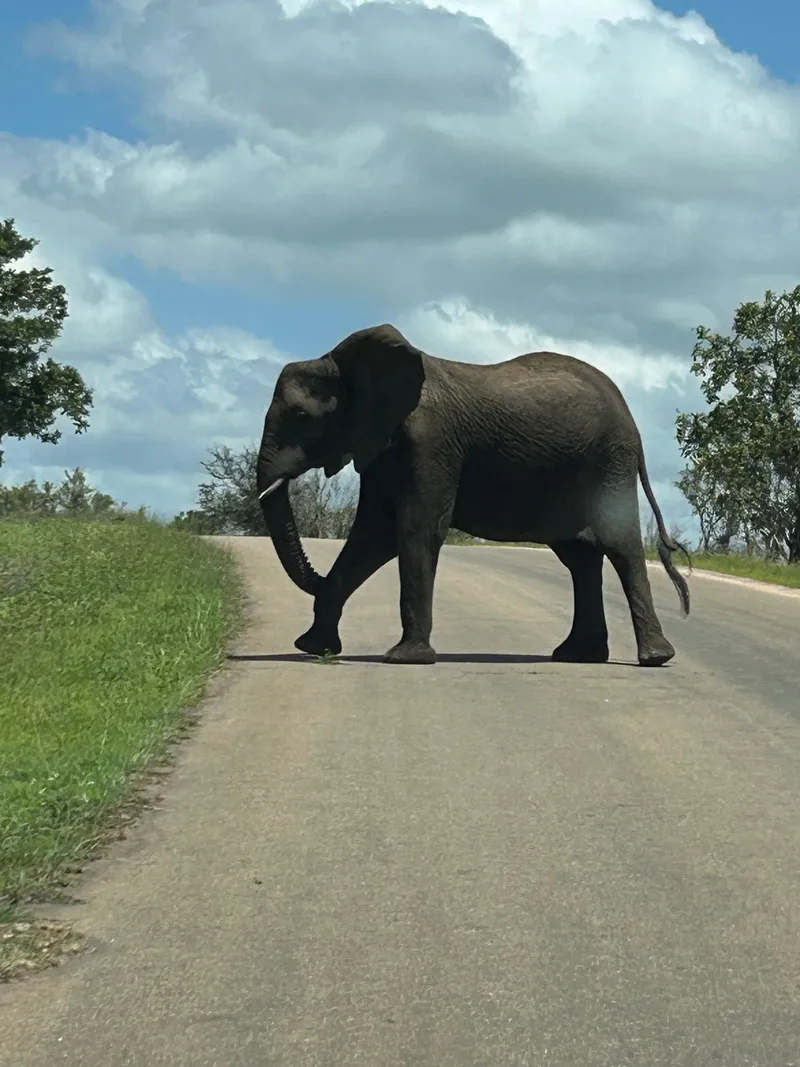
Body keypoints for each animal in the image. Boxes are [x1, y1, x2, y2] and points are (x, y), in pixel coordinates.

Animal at [256, 323, 691, 666]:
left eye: (301, 418)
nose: (317, 577)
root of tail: (631, 419)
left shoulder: (432, 444)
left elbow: (415, 530)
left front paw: (404, 658)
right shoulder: (383, 447)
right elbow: (372, 535)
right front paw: (312, 648)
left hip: (610, 462)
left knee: (620, 547)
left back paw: (654, 658)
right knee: (580, 558)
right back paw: (577, 655)